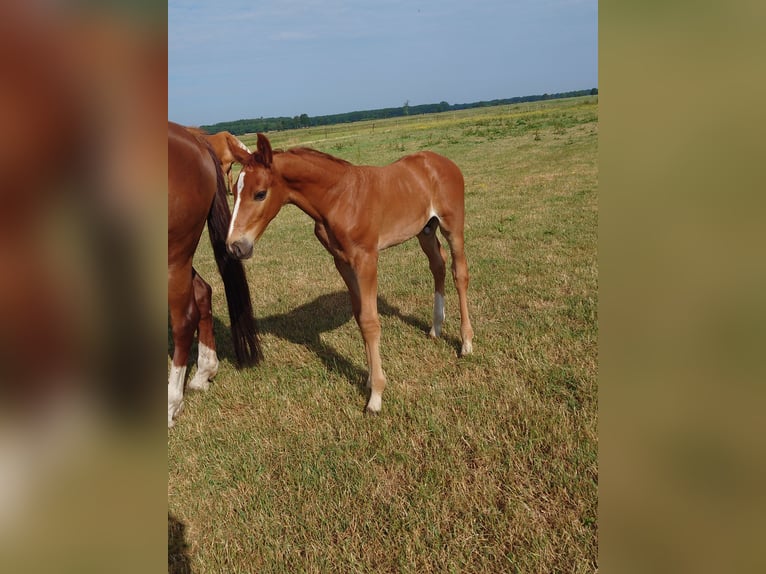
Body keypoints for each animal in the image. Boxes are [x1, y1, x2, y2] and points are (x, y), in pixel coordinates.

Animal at [168, 122, 264, 428]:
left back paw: (172, 401)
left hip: (173, 254)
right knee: (202, 291)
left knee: (184, 319)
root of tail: (194, 138)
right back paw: (204, 372)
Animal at [224, 135, 474, 414]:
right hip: (425, 230)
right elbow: (359, 316)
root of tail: (442, 162)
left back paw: (466, 343)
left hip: (452, 226)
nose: (234, 246)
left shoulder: (366, 260)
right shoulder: (342, 262)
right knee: (437, 265)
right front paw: (369, 379)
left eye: (260, 193)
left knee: (459, 273)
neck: (338, 199)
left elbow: (370, 321)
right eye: (234, 191)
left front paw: (376, 396)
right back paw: (436, 327)